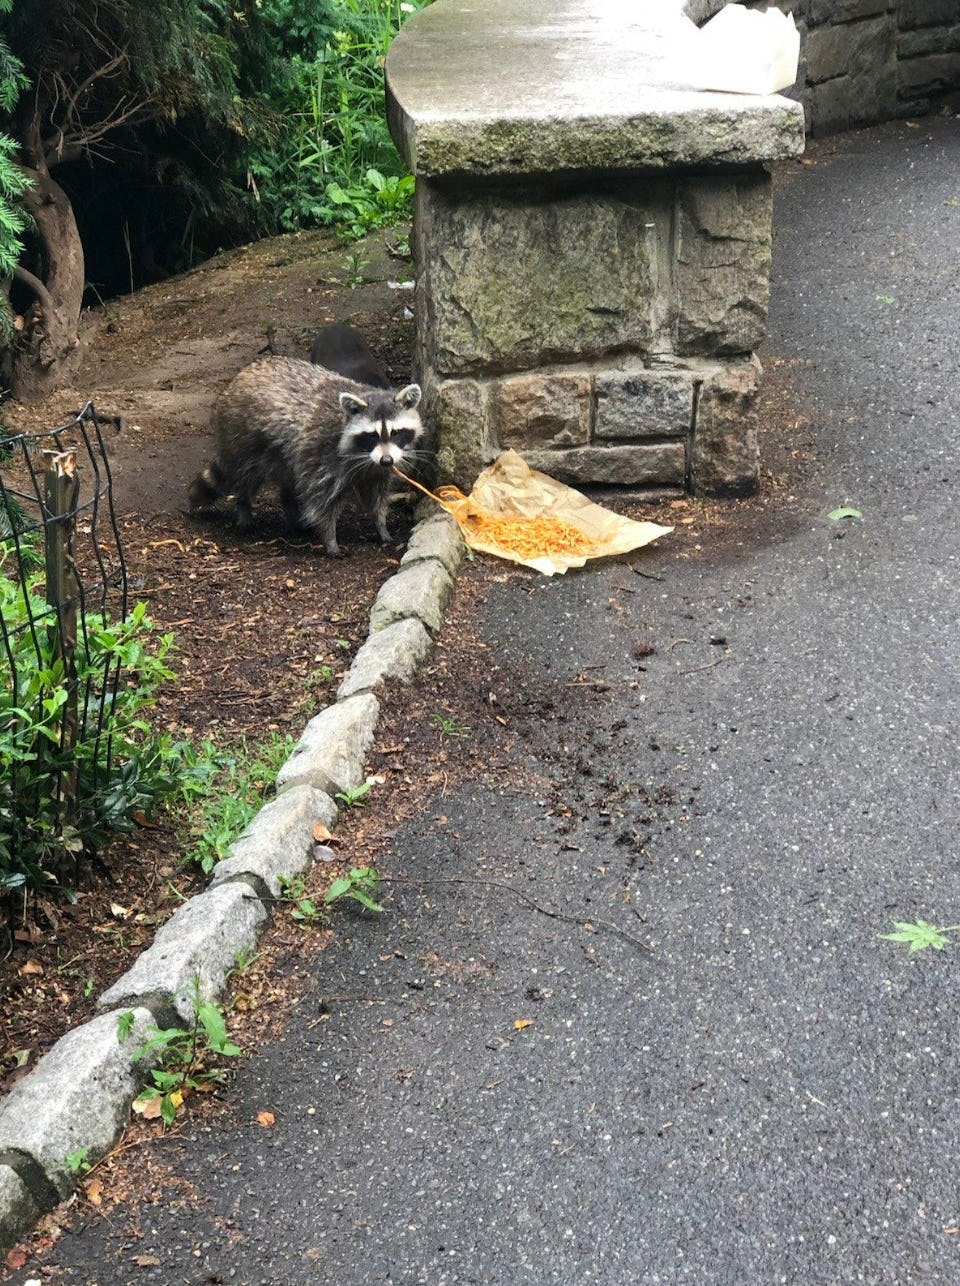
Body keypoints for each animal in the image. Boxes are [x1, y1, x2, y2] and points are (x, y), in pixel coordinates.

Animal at [189, 357, 424, 556]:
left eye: (396, 432)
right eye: (372, 435)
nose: (387, 460)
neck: (364, 455)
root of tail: (238, 378)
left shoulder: (375, 469)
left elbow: (377, 495)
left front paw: (381, 525)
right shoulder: (323, 455)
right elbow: (321, 500)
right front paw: (330, 538)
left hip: (283, 454)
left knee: (288, 481)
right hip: (243, 439)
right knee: (248, 479)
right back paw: (244, 508)